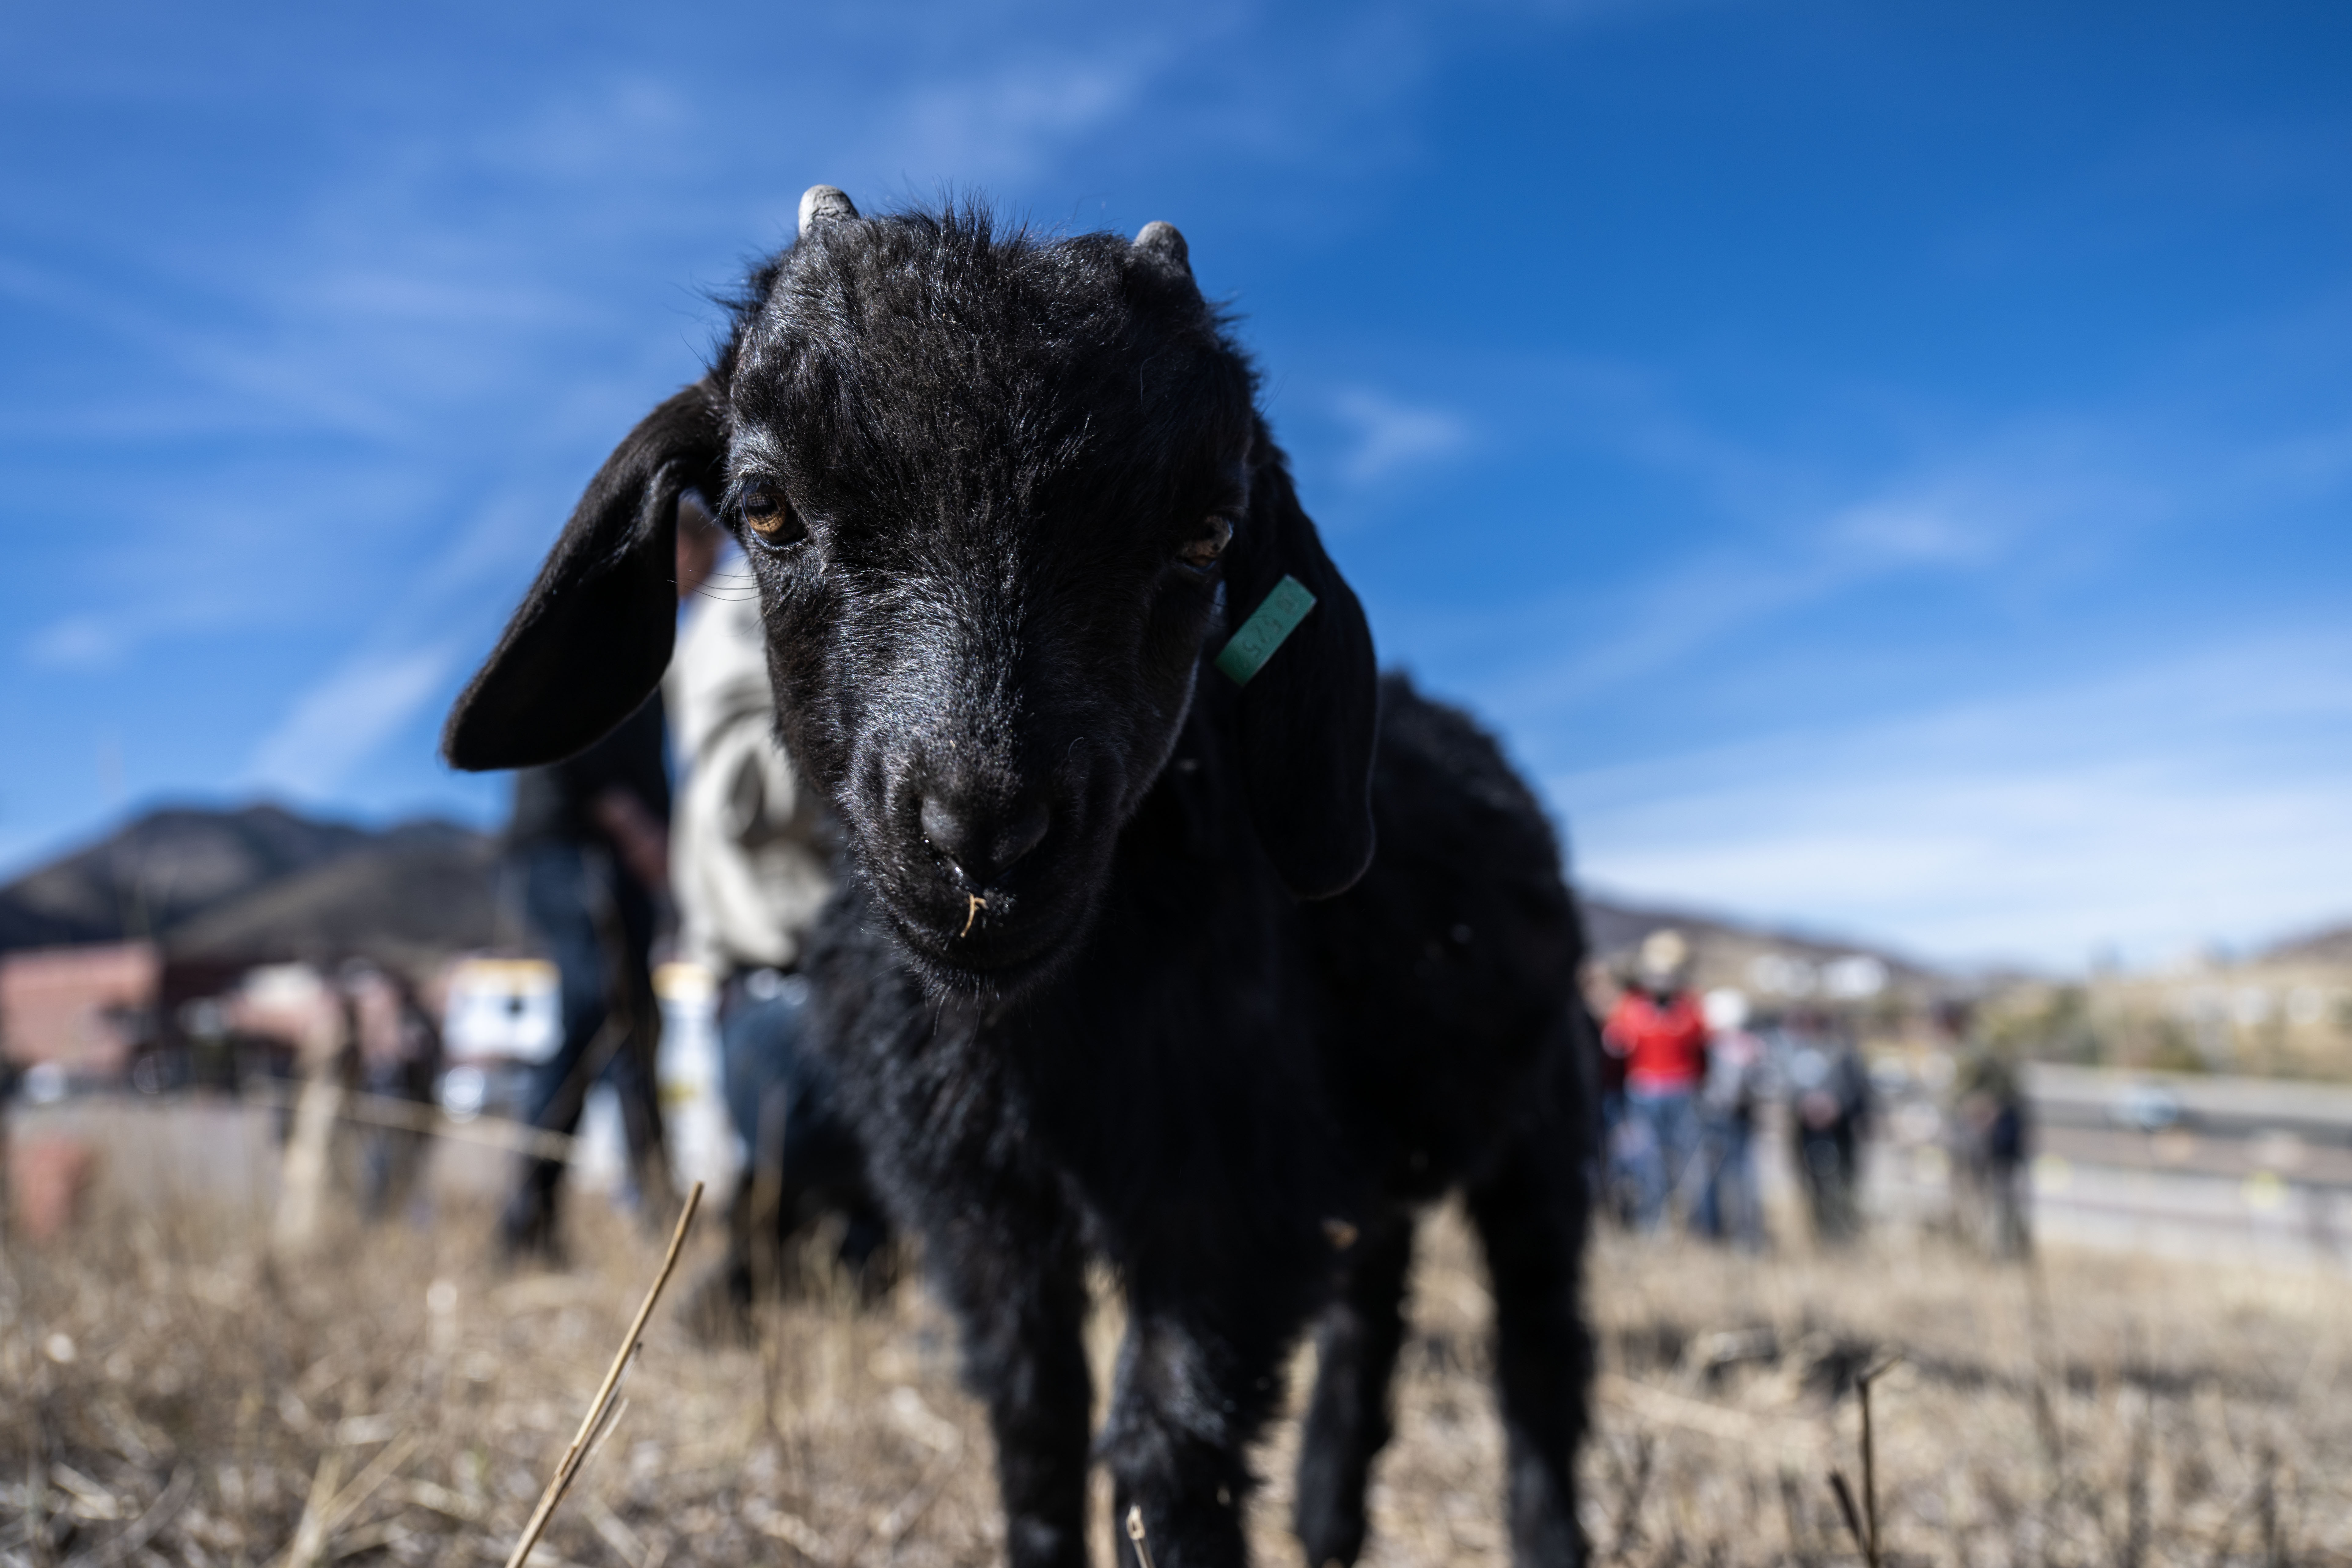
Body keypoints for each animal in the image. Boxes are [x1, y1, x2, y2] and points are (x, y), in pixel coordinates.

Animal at [445, 190, 1595, 1568]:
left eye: (1206, 530)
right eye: (767, 509)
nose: (982, 838)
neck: (1032, 1042)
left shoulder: (1225, 1199)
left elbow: (1167, 1456)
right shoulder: (977, 1209)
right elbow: (1035, 1423)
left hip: (1545, 1121)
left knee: (1540, 1351)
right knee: (1372, 1313)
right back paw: (1327, 1517)